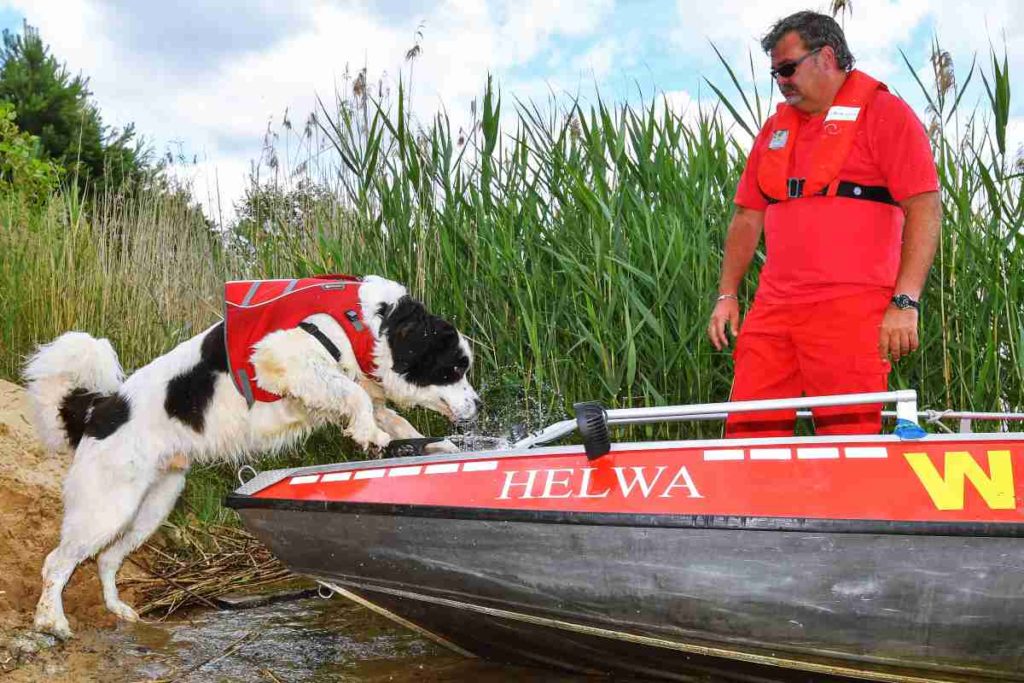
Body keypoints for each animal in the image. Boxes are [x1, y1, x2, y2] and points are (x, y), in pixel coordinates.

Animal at [23, 274, 479, 638]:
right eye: (455, 368)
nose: (478, 406)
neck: (367, 322)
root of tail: (98, 409)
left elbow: (392, 418)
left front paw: (432, 447)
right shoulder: (284, 357)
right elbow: (357, 397)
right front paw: (369, 433)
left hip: (149, 507)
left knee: (106, 559)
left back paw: (118, 609)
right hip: (107, 508)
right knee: (55, 563)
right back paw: (51, 622)